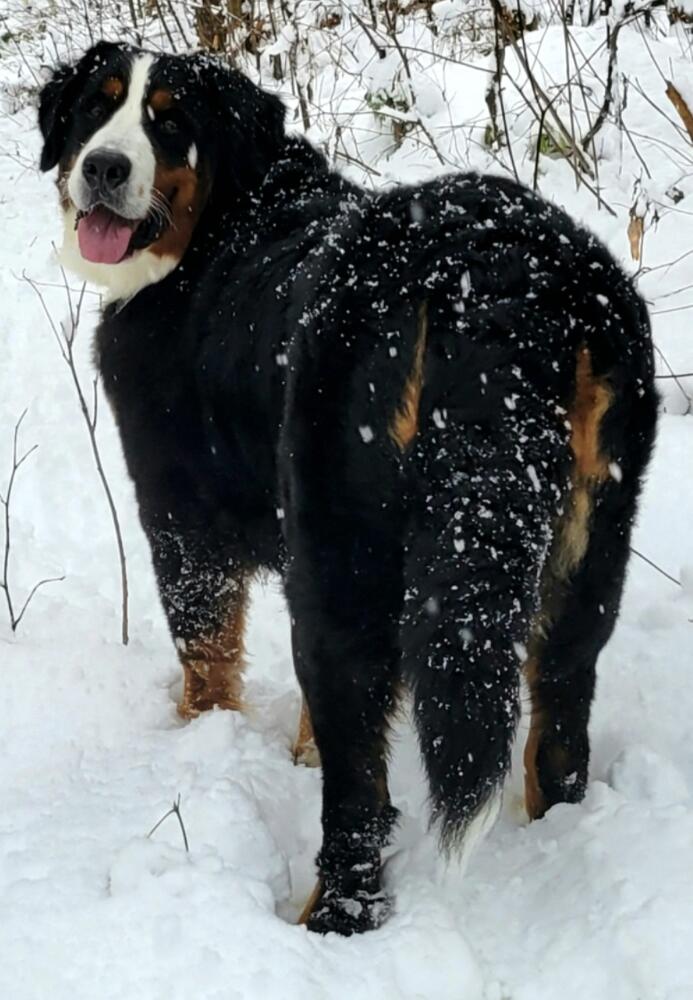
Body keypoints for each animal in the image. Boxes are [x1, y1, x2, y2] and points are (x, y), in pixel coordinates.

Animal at [39, 41, 658, 935]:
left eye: (169, 123)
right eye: (96, 104)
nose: (104, 167)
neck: (224, 222)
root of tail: (497, 270)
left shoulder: (178, 514)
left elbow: (205, 653)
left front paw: (203, 738)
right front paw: (294, 751)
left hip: (346, 555)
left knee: (359, 784)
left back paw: (331, 917)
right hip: (590, 545)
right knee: (559, 726)